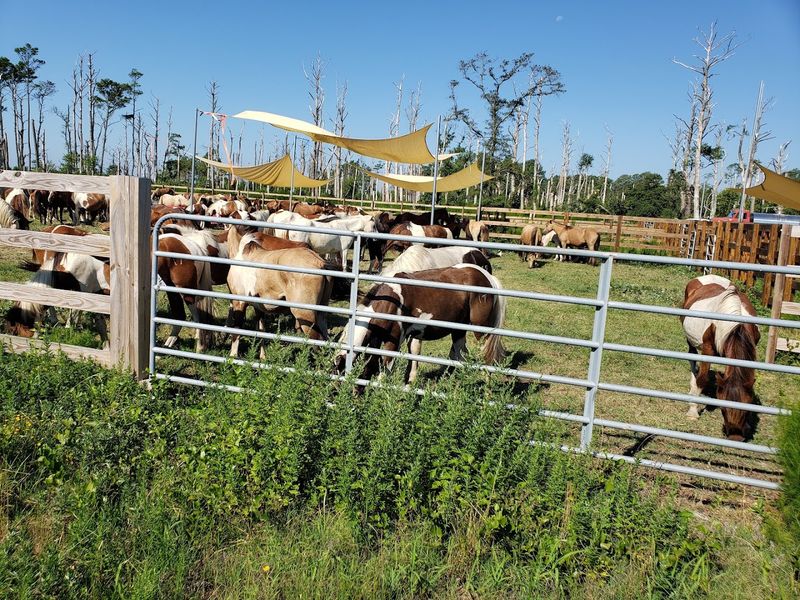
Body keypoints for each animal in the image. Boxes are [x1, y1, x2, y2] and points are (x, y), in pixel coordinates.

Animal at [225, 225, 334, 358]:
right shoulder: (258, 307)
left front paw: (233, 357)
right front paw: (263, 357)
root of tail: (321, 263)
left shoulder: (238, 303)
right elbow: (261, 330)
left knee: (317, 342)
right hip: (320, 314)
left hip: (304, 314)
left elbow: (236, 332)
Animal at [335, 263, 506, 384]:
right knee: (460, 354)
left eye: (339, 369)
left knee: (486, 357)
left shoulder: (394, 342)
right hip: (458, 329)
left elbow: (384, 372)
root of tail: (488, 277)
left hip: (481, 331)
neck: (392, 301)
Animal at [681, 274, 761, 441]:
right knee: (692, 359)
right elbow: (702, 379)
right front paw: (693, 411)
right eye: (723, 407)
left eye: (747, 405)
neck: (736, 327)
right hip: (691, 341)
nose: (736, 437)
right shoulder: (708, 349)